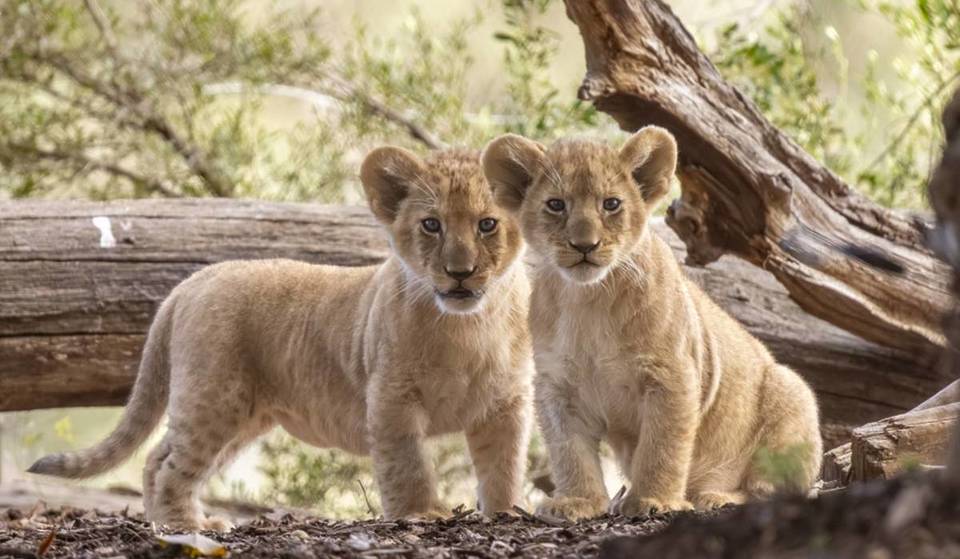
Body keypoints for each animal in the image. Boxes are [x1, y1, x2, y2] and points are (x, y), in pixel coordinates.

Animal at [29, 148, 534, 530]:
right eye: (431, 225)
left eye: (487, 224)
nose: (460, 273)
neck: (467, 328)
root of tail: (193, 280)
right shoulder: (392, 397)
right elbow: (407, 463)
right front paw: (421, 514)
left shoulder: (506, 402)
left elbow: (504, 464)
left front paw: (507, 512)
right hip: (215, 397)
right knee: (165, 462)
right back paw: (184, 526)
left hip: (244, 416)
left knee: (164, 458)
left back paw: (175, 522)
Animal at [481, 127, 822, 520]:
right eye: (556, 205)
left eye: (611, 204)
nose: (585, 245)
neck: (588, 301)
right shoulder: (557, 385)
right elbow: (569, 450)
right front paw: (579, 502)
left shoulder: (671, 374)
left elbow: (663, 446)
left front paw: (654, 501)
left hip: (792, 390)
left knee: (773, 490)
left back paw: (717, 496)